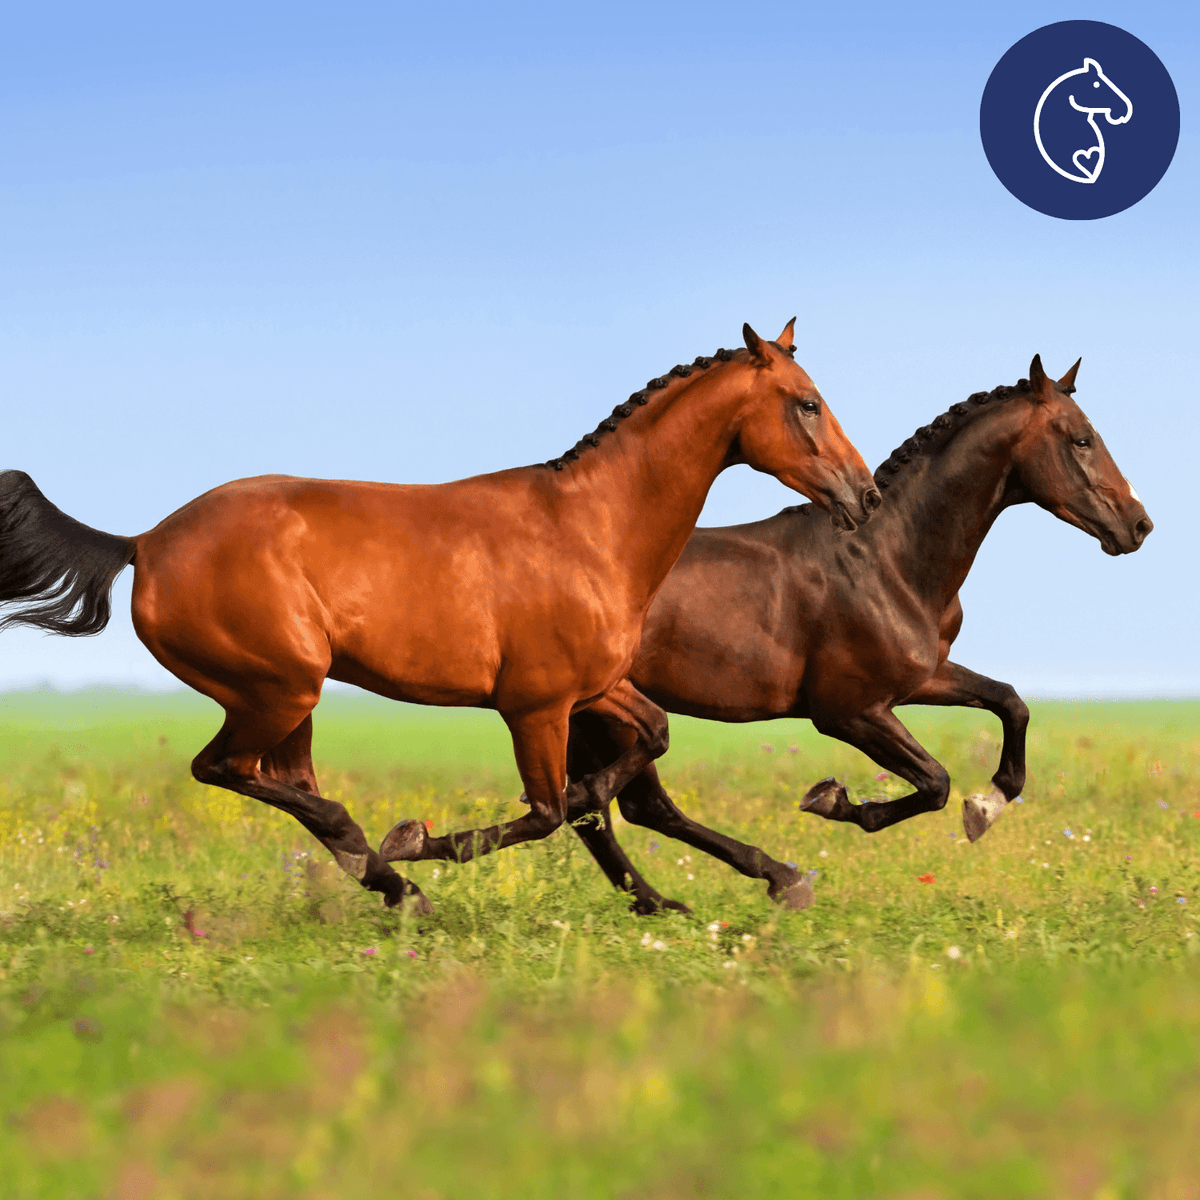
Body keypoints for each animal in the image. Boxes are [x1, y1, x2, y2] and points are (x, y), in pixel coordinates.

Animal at [0, 320, 879, 913]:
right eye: (807, 404)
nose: (865, 495)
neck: (591, 528)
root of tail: (144, 542)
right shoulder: (535, 706)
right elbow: (550, 810)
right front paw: (425, 840)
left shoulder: (591, 689)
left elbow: (645, 744)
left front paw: (756, 878)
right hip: (277, 690)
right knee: (228, 771)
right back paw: (391, 867)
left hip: (288, 699)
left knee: (284, 783)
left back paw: (392, 887)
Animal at [562, 356, 1152, 913]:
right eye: (1082, 438)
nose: (1139, 524)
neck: (887, 559)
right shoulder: (848, 711)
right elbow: (935, 781)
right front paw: (832, 800)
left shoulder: (921, 680)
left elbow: (1010, 703)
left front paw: (986, 806)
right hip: (607, 715)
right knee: (629, 807)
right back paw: (767, 883)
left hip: (585, 718)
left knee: (612, 812)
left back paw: (673, 900)